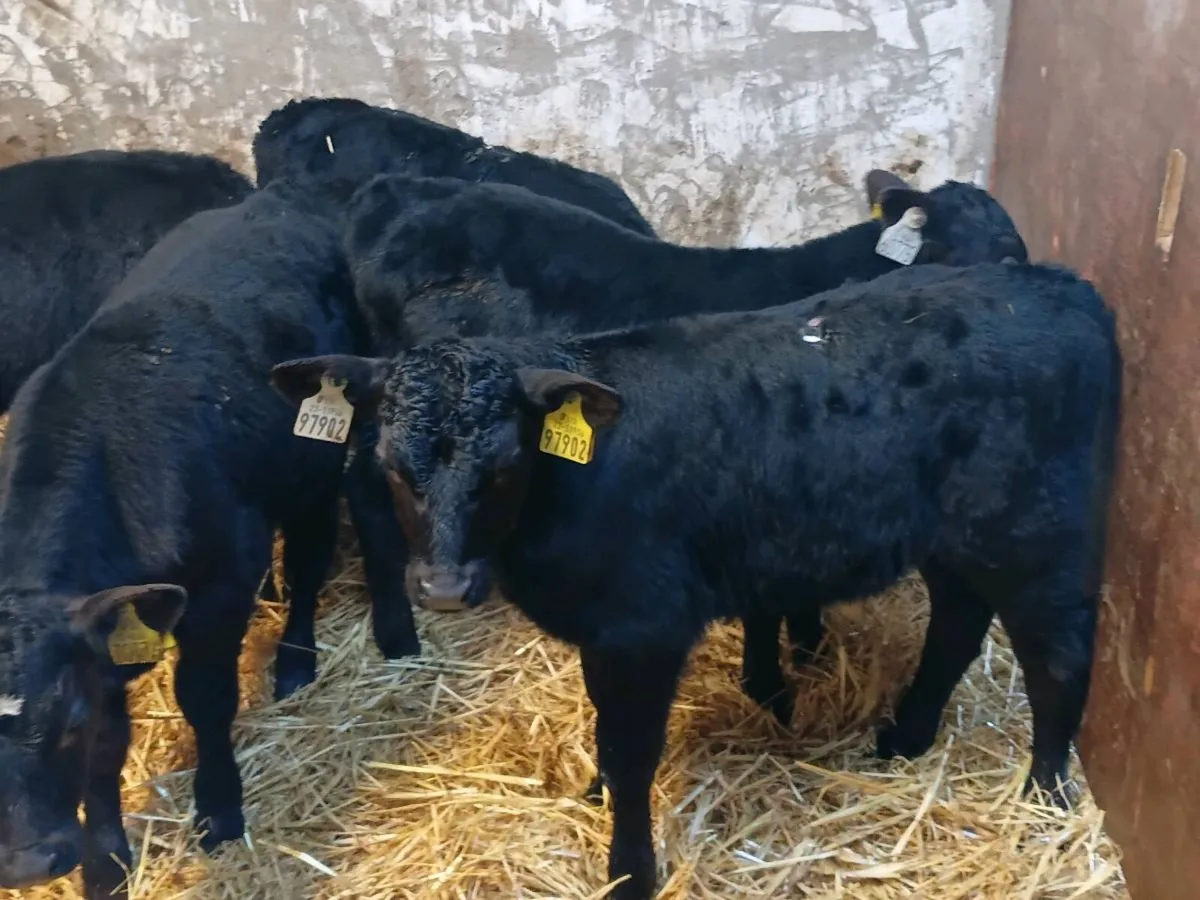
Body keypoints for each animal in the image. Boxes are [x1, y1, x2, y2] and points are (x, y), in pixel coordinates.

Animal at [0, 177, 387, 899]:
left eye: (64, 723)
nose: (28, 863)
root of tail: (276, 200)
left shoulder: (216, 595)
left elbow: (205, 701)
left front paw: (219, 809)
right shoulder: (102, 640)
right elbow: (109, 751)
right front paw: (107, 865)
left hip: (317, 463)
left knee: (311, 557)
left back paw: (295, 659)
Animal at [272, 260, 1120, 900]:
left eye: (505, 468)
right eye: (392, 465)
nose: (444, 588)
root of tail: (1059, 285)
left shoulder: (645, 626)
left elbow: (632, 750)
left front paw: (628, 872)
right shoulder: (604, 626)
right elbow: (605, 730)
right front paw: (595, 794)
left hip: (1043, 535)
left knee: (1058, 660)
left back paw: (1044, 796)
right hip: (956, 539)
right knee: (956, 626)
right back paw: (906, 739)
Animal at [339, 167, 1030, 721]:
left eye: (1013, 254)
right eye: (957, 252)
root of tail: (397, 190)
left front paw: (807, 649)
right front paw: (773, 686)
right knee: (369, 491)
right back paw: (399, 632)